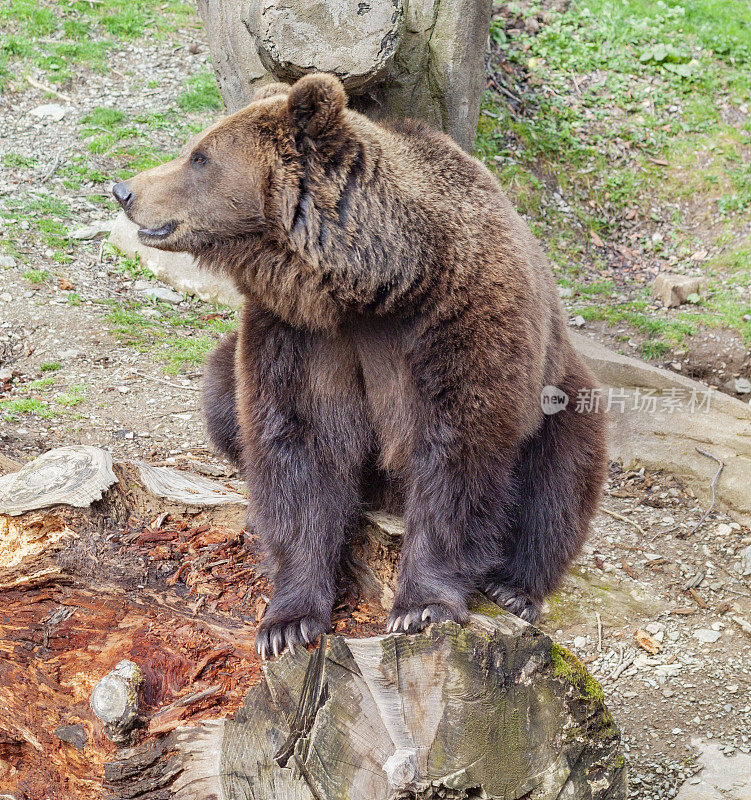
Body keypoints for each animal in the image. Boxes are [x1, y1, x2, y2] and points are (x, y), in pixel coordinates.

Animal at [114, 75, 608, 660]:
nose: (124, 190)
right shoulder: (301, 336)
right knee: (220, 391)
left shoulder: (459, 319)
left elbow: (459, 453)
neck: (375, 285)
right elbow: (298, 449)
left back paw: (515, 587)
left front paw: (420, 606)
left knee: (558, 477)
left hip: (560, 389)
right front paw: (287, 621)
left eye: (199, 156)